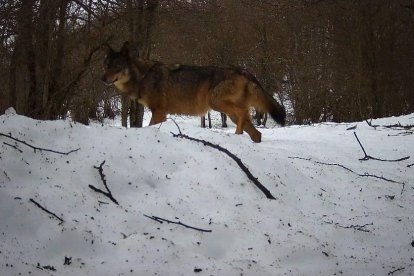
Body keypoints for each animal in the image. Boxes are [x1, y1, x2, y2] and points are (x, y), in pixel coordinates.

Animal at [102, 42, 286, 143]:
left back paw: (236, 135)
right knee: (257, 133)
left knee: (243, 117)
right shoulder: (161, 112)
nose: (102, 78)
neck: (143, 76)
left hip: (217, 103)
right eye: (106, 65)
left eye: (116, 66)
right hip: (229, 111)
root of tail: (244, 71)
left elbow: (152, 126)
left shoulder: (159, 112)